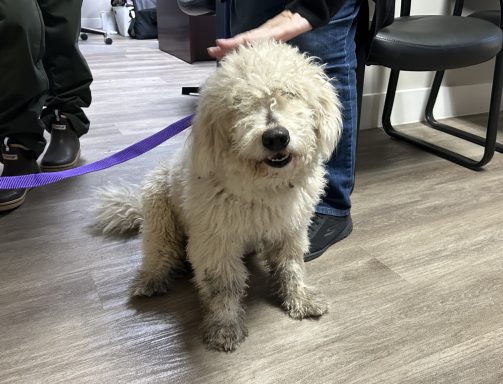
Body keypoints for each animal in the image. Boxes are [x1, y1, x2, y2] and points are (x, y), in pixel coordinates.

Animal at [94, 41, 342, 352]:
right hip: (160, 214)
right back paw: (151, 278)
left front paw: (300, 298)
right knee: (159, 251)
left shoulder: (289, 231)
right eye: (238, 104)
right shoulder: (216, 243)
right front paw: (225, 326)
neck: (263, 187)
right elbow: (222, 286)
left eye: (290, 93)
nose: (275, 137)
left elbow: (291, 266)